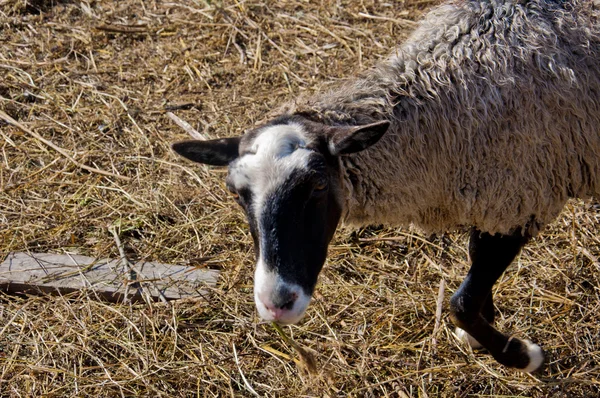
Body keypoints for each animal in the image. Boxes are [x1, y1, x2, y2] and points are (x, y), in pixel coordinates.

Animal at [170, 0, 600, 374]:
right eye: (236, 192)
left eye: (318, 186)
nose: (276, 304)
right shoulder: (497, 199)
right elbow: (474, 266)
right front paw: (485, 326)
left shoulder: (519, 196)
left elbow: (461, 302)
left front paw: (520, 355)